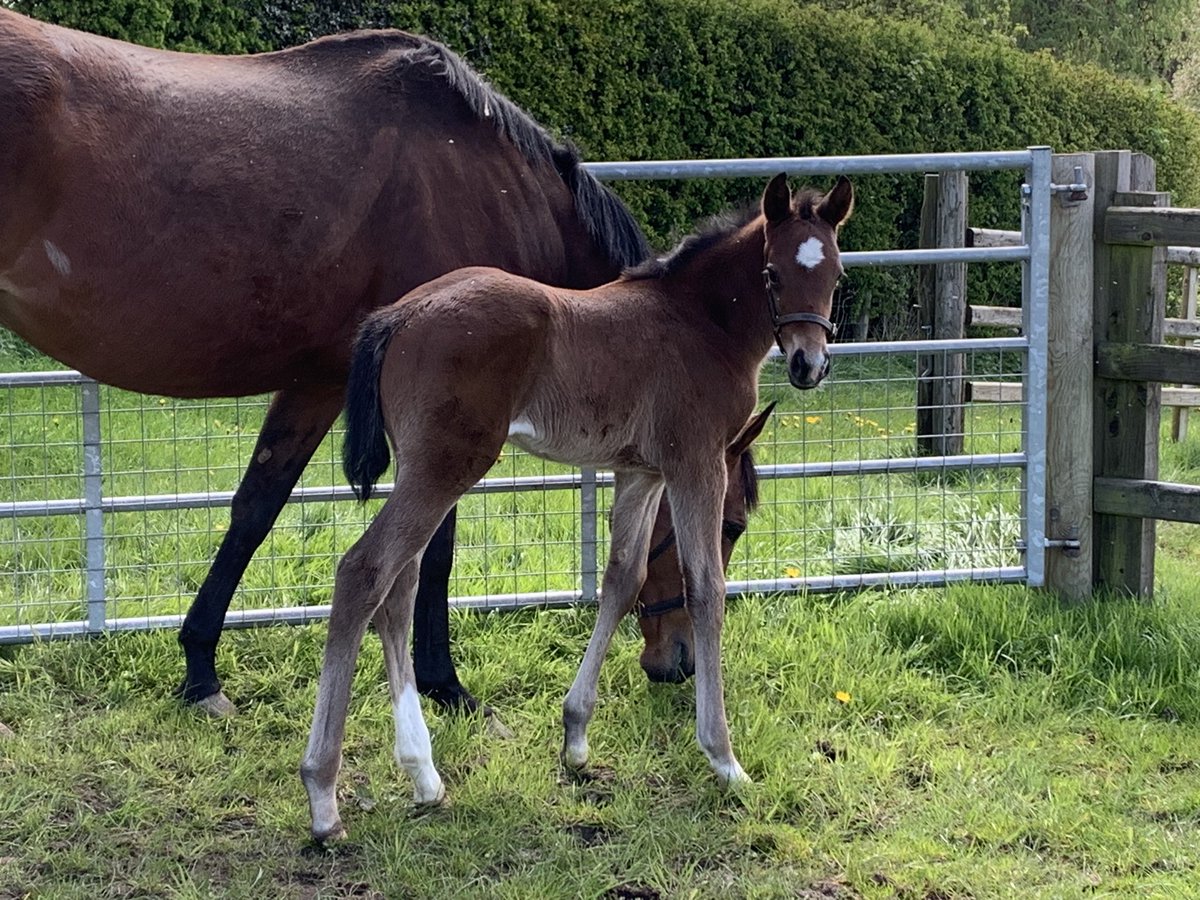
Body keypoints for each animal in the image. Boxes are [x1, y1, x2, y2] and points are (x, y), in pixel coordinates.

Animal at [0, 7, 657, 710]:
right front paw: (443, 682)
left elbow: (255, 507)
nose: (669, 669)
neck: (495, 188)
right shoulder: (450, 403)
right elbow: (434, 550)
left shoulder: (318, 383)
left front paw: (200, 667)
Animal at [304, 177, 859, 844]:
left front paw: (575, 738)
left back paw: (424, 777)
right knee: (364, 572)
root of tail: (399, 313)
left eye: (836, 273)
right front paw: (724, 760)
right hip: (446, 466)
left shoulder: (640, 472)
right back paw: (323, 796)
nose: (808, 364)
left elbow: (624, 579)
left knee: (399, 586)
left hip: (424, 468)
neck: (700, 322)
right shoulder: (695, 462)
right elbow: (706, 589)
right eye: (773, 273)